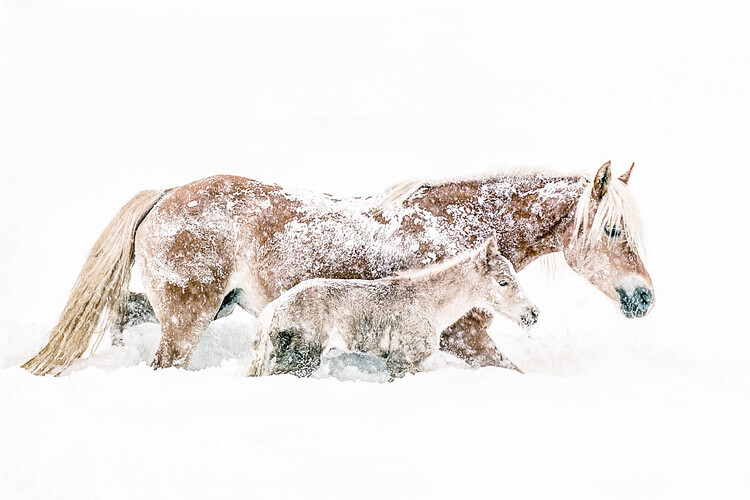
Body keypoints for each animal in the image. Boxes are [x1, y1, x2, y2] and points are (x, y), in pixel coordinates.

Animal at [249, 237, 539, 379]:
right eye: (503, 282)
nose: (533, 314)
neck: (429, 302)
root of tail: (272, 310)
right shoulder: (404, 359)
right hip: (301, 356)